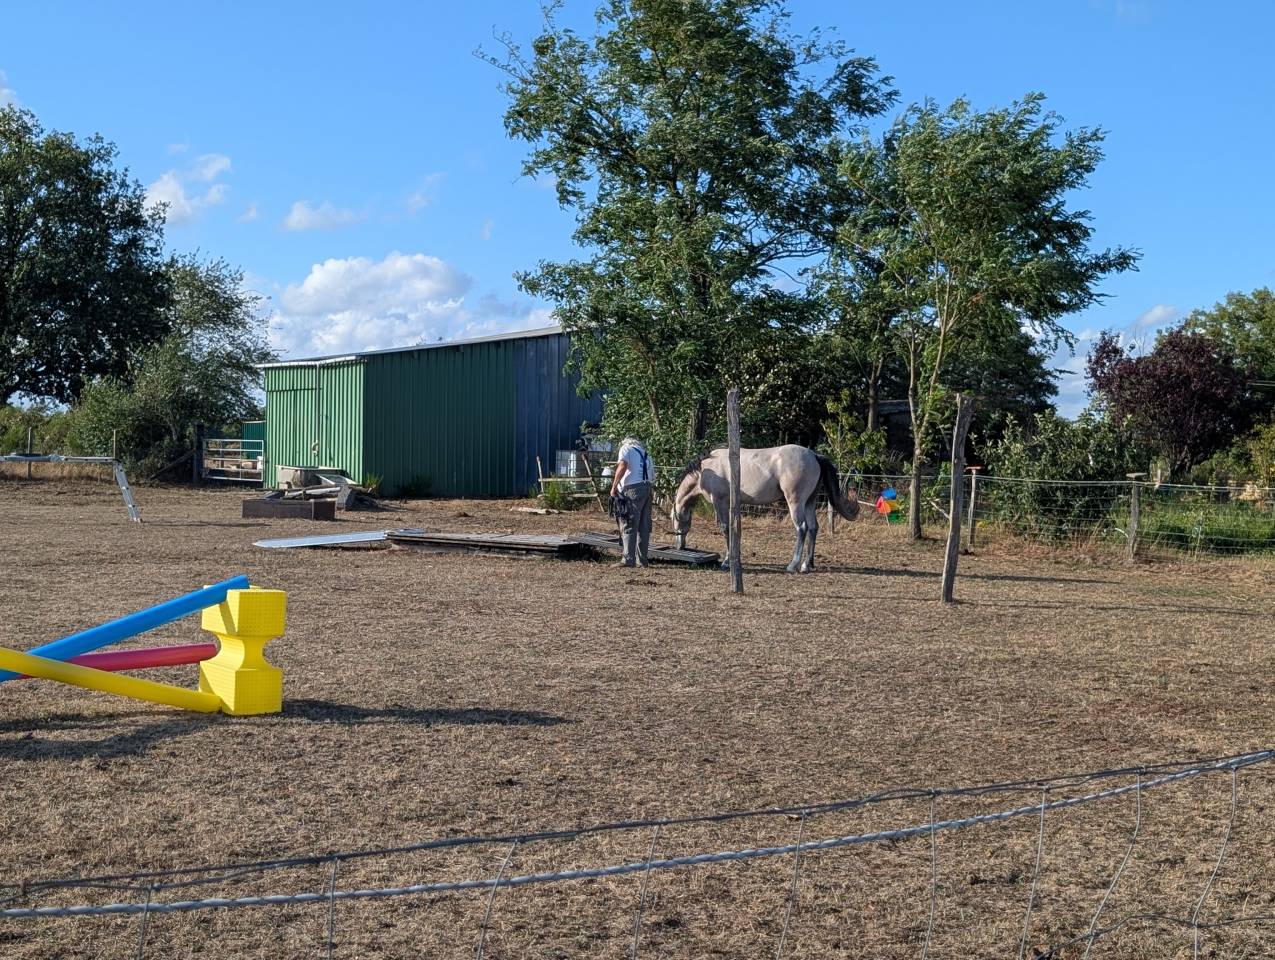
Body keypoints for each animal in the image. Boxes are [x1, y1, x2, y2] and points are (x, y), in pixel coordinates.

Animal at [670, 444, 859, 573]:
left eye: (674, 520)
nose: (679, 546)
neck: (706, 469)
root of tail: (813, 455)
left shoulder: (720, 502)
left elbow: (725, 529)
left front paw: (726, 562)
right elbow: (735, 528)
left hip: (796, 503)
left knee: (802, 528)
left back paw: (793, 565)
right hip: (809, 503)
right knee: (813, 528)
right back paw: (807, 564)